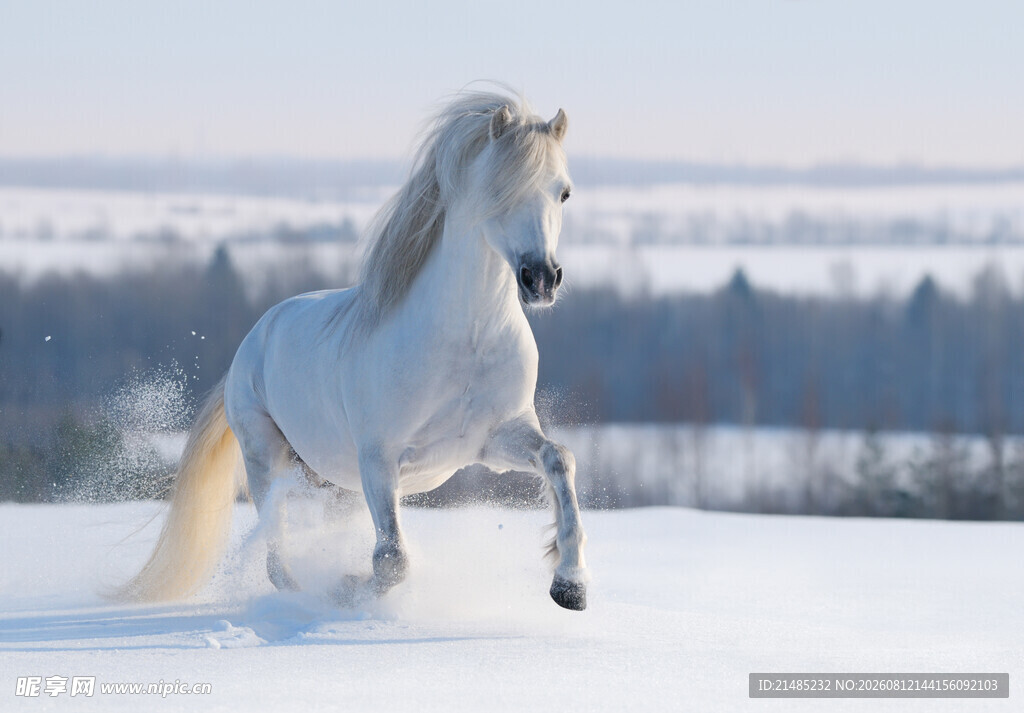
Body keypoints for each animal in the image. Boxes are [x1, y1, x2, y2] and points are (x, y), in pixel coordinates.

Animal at [121, 90, 589, 610]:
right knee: (275, 555)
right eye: (499, 189)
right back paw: (305, 596)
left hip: (334, 483)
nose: (541, 279)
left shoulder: (494, 440)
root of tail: (254, 339)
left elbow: (559, 459)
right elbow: (391, 560)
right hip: (267, 458)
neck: (465, 342)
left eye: (564, 192)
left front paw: (570, 585)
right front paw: (347, 590)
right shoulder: (379, 459)